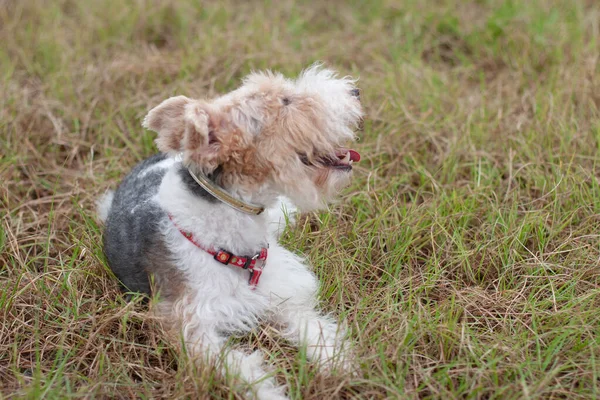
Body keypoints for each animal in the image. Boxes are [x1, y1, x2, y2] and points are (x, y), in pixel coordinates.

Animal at [98, 64, 364, 398]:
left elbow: (314, 328)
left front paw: (340, 364)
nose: (355, 90)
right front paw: (273, 393)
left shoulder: (281, 293)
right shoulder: (190, 328)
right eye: (285, 102)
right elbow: (242, 369)